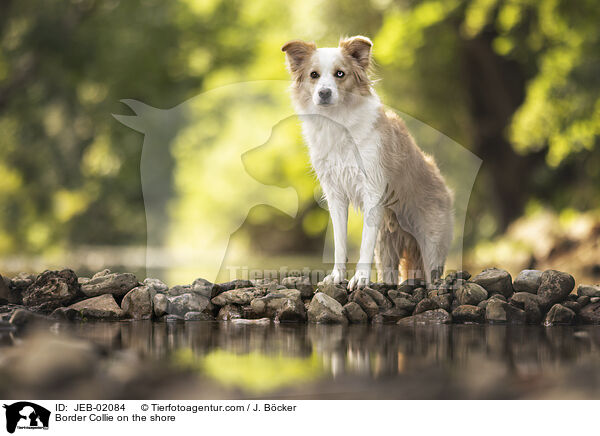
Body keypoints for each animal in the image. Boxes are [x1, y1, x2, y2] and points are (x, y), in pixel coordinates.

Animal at [284, 35, 452, 290]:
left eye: (340, 74)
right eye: (314, 75)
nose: (324, 93)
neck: (338, 122)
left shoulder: (373, 189)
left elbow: (363, 245)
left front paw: (361, 279)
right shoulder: (335, 194)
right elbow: (340, 242)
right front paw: (337, 276)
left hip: (430, 244)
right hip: (386, 248)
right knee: (390, 275)